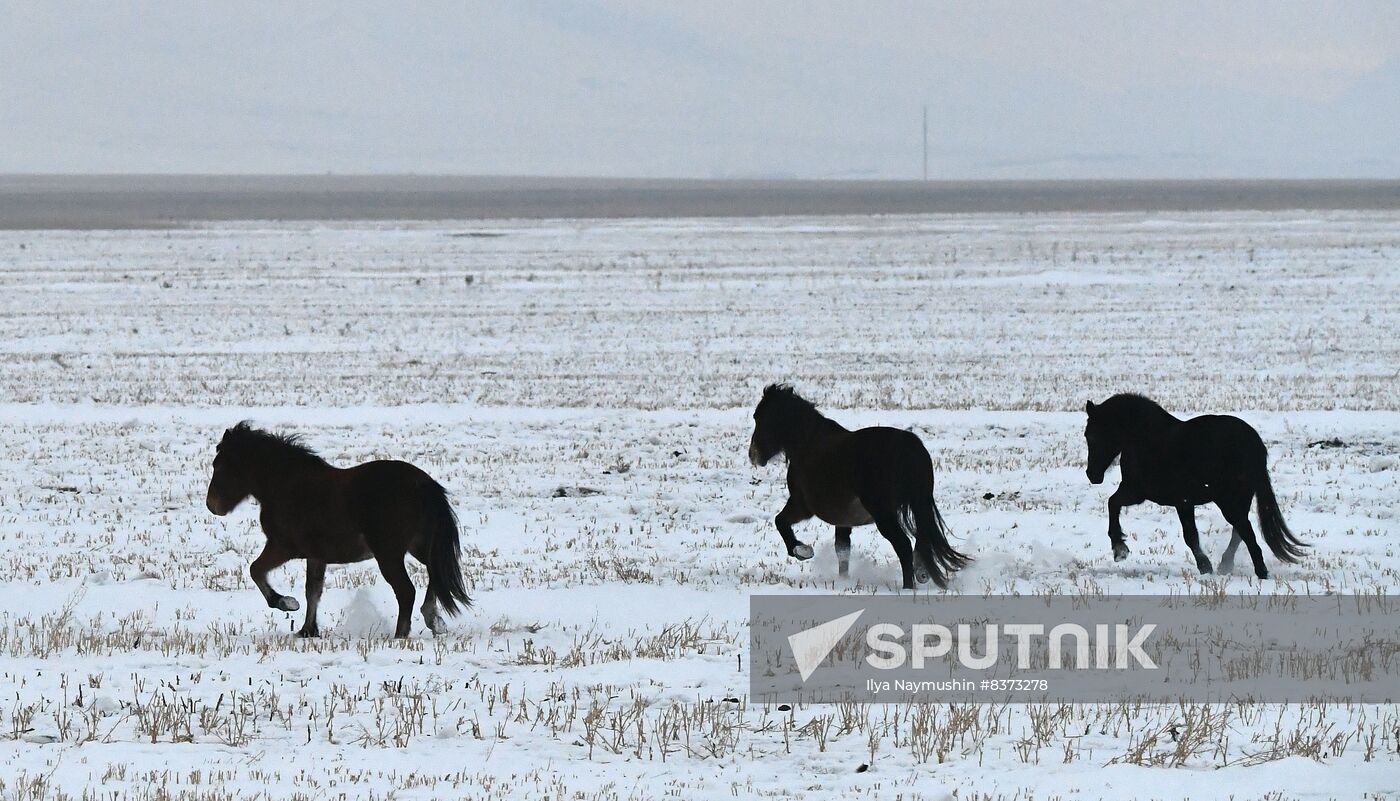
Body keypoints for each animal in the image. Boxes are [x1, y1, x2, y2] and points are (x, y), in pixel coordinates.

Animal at [203, 425, 473, 638]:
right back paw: (433, 620)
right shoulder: (316, 555)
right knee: (434, 572)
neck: (285, 486)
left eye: (220, 465)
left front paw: (286, 603)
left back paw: (400, 636)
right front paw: (307, 631)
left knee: (407, 591)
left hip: (389, 553)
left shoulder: (282, 547)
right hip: (418, 545)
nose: (212, 505)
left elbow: (256, 570)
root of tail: (424, 486)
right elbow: (312, 591)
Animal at [750, 383, 968, 590]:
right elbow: (842, 550)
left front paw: (802, 551)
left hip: (884, 514)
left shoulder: (802, 505)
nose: (753, 455)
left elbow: (780, 521)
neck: (807, 445)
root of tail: (909, 447)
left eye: (759, 418)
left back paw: (908, 587)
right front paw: (843, 580)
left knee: (904, 545)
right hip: (919, 503)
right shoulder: (842, 519)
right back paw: (921, 572)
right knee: (921, 540)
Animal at [1080, 392, 1299, 576]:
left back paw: (1260, 572)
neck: (1147, 439)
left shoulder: (1164, 497)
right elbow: (1113, 503)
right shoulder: (1158, 498)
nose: (1092, 474)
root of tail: (1253, 443)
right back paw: (1226, 566)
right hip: (1240, 499)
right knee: (1240, 531)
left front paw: (1120, 549)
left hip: (1229, 500)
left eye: (1091, 435)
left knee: (1246, 532)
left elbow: (1189, 536)